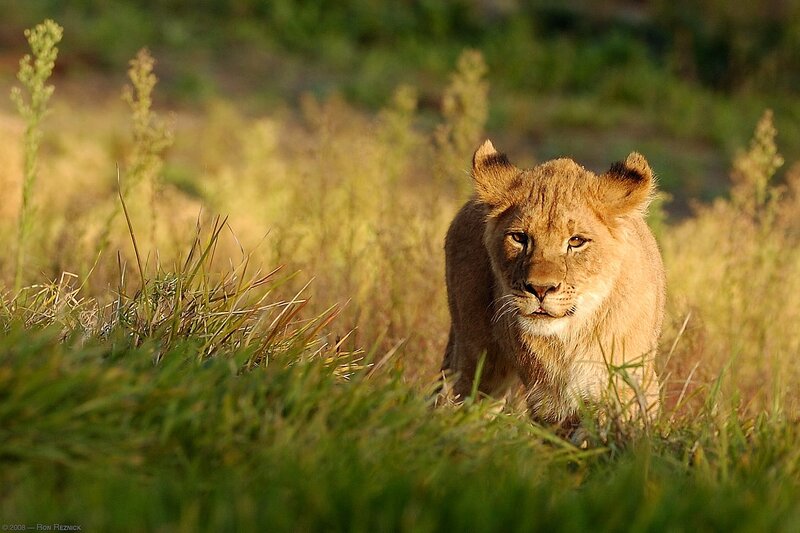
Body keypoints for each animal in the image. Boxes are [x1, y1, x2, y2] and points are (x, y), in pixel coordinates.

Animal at [441, 140, 666, 427]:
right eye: (519, 238)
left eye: (576, 241)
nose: (540, 289)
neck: (571, 338)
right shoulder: (551, 402)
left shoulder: (630, 384)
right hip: (476, 358)